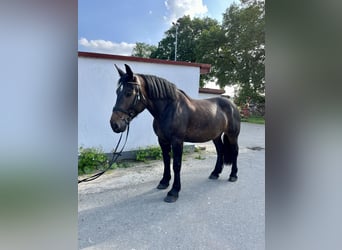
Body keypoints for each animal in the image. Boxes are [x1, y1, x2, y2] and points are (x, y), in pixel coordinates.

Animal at [110, 63, 240, 202]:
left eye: (128, 93)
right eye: (117, 92)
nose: (114, 124)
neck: (169, 109)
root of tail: (233, 105)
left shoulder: (177, 141)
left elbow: (176, 165)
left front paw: (173, 192)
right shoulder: (162, 140)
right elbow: (166, 161)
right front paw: (164, 182)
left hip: (232, 135)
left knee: (235, 152)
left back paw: (233, 175)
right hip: (216, 135)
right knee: (220, 151)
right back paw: (215, 173)